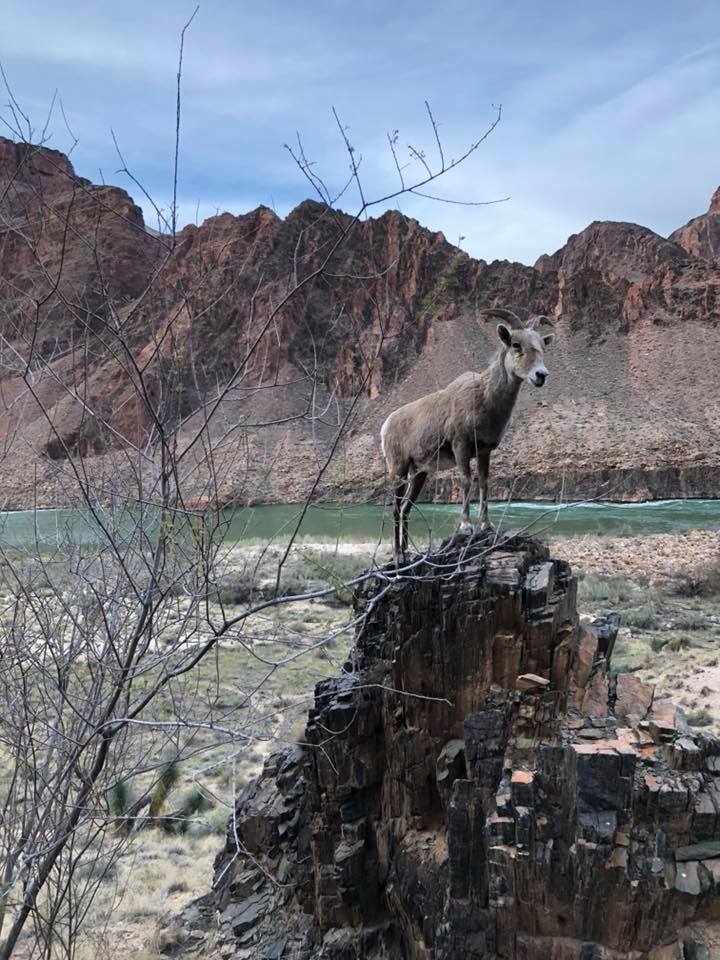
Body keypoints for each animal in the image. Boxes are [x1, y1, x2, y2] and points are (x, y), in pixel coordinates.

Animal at [382, 308, 556, 560]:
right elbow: (466, 480)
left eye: (542, 346)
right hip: (399, 469)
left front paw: (486, 525)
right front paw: (466, 526)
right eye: (516, 344)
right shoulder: (461, 447)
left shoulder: (484, 451)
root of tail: (386, 425)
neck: (484, 398)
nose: (541, 375)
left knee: (405, 508)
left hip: (419, 474)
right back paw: (398, 555)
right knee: (396, 509)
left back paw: (406, 551)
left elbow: (483, 482)